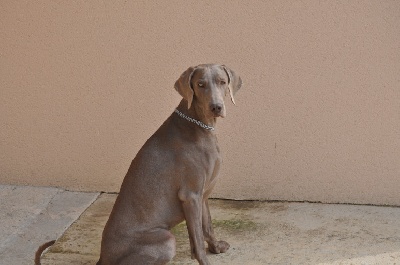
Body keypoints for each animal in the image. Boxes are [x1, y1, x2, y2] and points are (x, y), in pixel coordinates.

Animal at [97, 64, 241, 264]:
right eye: (200, 84)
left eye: (222, 82)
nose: (216, 107)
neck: (200, 125)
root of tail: (103, 258)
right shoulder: (190, 195)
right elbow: (198, 237)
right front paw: (204, 259)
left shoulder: (202, 194)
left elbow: (207, 226)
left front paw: (216, 247)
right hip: (166, 239)